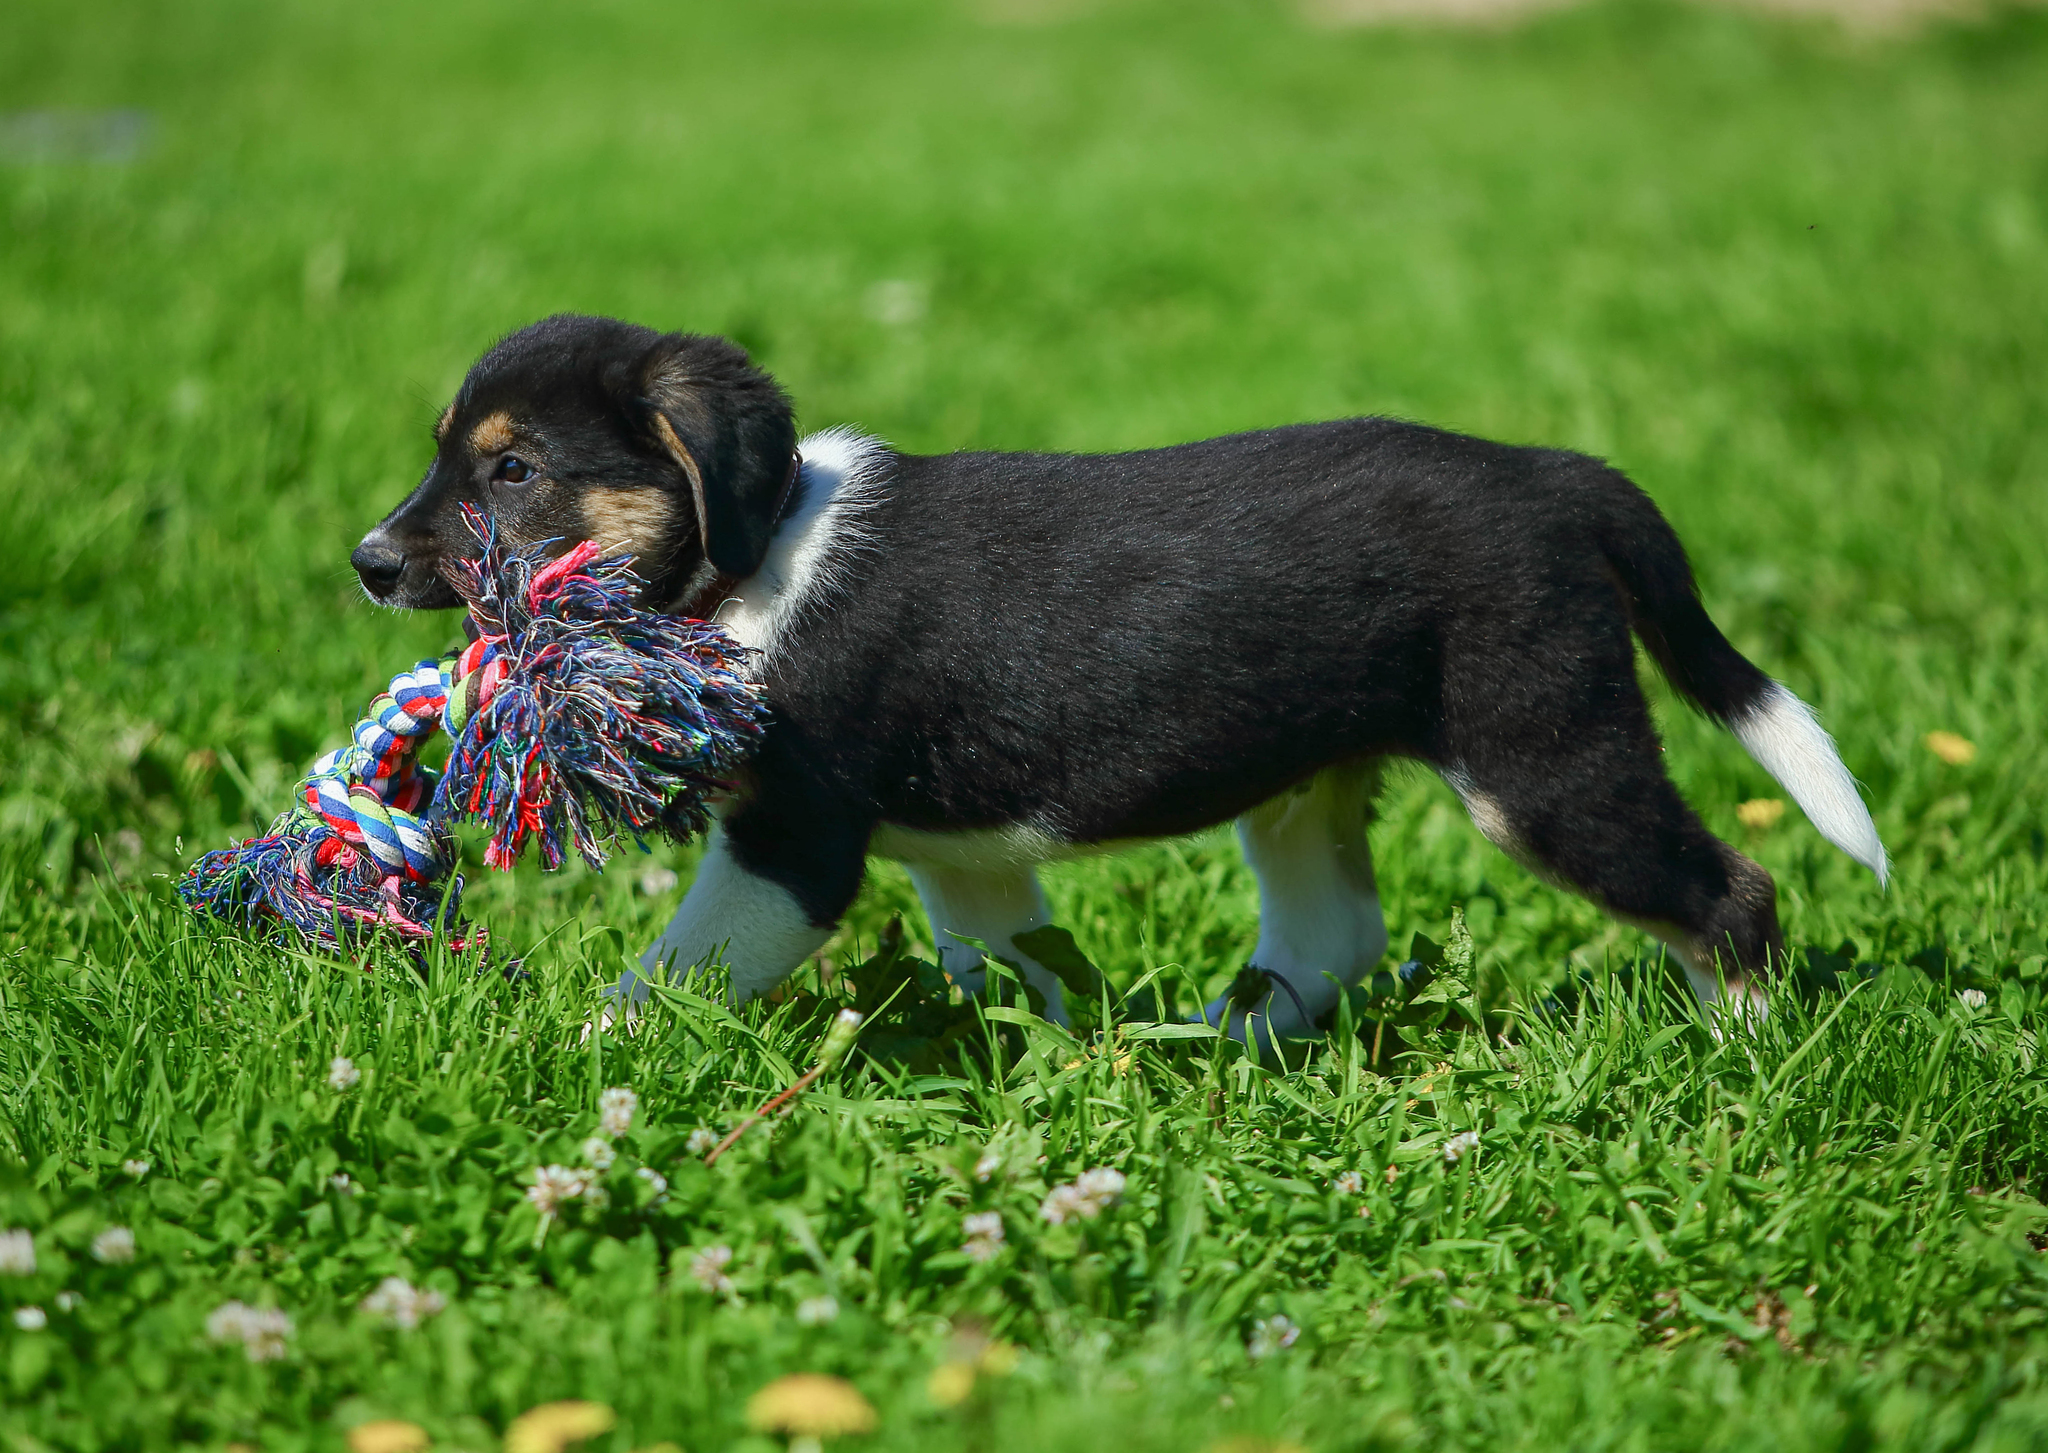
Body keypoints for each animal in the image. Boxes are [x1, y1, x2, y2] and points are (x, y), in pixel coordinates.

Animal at [356, 313, 1884, 1041]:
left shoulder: (794, 839)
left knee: (1730, 891)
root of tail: (1555, 476)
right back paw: (1208, 1045)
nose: (369, 563)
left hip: (1542, 753)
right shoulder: (962, 859)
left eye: (512, 468)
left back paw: (1741, 1056)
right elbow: (1012, 962)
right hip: (1306, 785)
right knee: (1332, 936)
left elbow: (674, 971)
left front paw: (584, 1053)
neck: (755, 547)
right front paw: (1055, 1059)